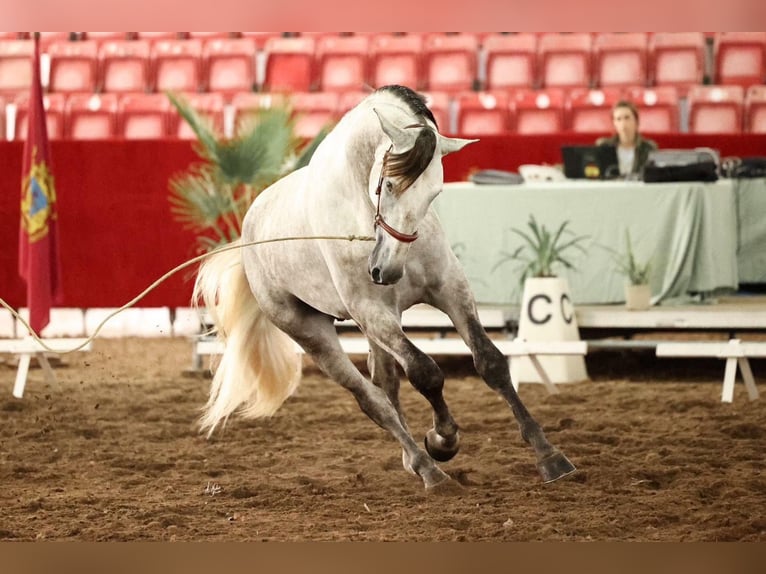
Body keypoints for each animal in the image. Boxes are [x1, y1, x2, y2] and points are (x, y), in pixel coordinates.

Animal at [194, 84, 576, 490]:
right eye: (389, 183)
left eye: (434, 194)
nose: (386, 270)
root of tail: (248, 231)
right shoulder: (371, 310)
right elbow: (425, 373)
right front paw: (442, 440)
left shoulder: (449, 290)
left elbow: (490, 363)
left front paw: (549, 455)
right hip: (313, 331)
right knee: (371, 398)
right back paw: (428, 467)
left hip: (377, 323)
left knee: (386, 380)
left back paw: (415, 459)